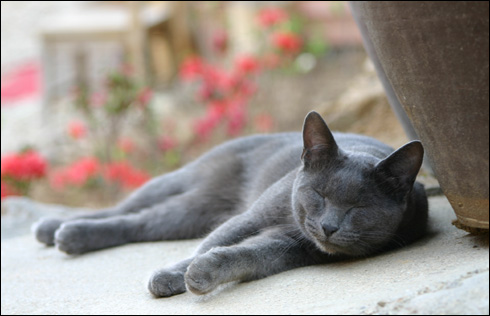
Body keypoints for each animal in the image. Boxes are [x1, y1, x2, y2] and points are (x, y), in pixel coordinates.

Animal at [33, 111, 428, 296]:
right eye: (319, 195)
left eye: (358, 209)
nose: (329, 226)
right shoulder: (252, 217)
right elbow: (213, 242)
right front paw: (172, 277)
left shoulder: (289, 248)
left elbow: (246, 255)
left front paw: (202, 275)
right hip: (182, 183)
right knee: (125, 212)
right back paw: (59, 229)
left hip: (191, 212)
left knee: (140, 224)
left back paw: (66, 234)